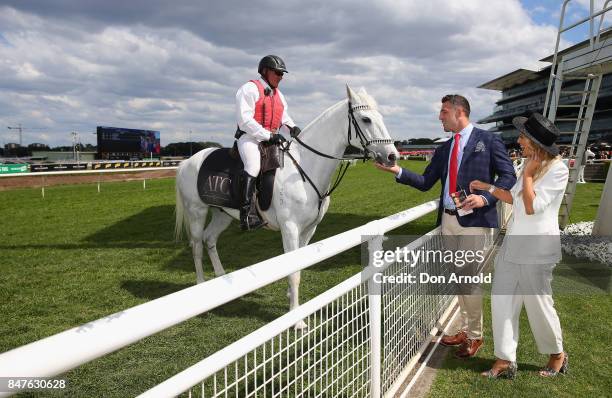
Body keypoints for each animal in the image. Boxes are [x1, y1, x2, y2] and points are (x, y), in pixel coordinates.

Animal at [175, 85, 400, 328]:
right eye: (366, 119)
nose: (392, 156)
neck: (304, 167)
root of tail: (188, 162)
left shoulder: (309, 229)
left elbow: (298, 266)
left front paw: (292, 301)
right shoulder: (290, 228)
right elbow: (293, 272)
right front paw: (297, 320)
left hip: (222, 214)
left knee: (210, 239)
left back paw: (220, 278)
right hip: (197, 212)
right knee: (197, 245)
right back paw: (201, 286)